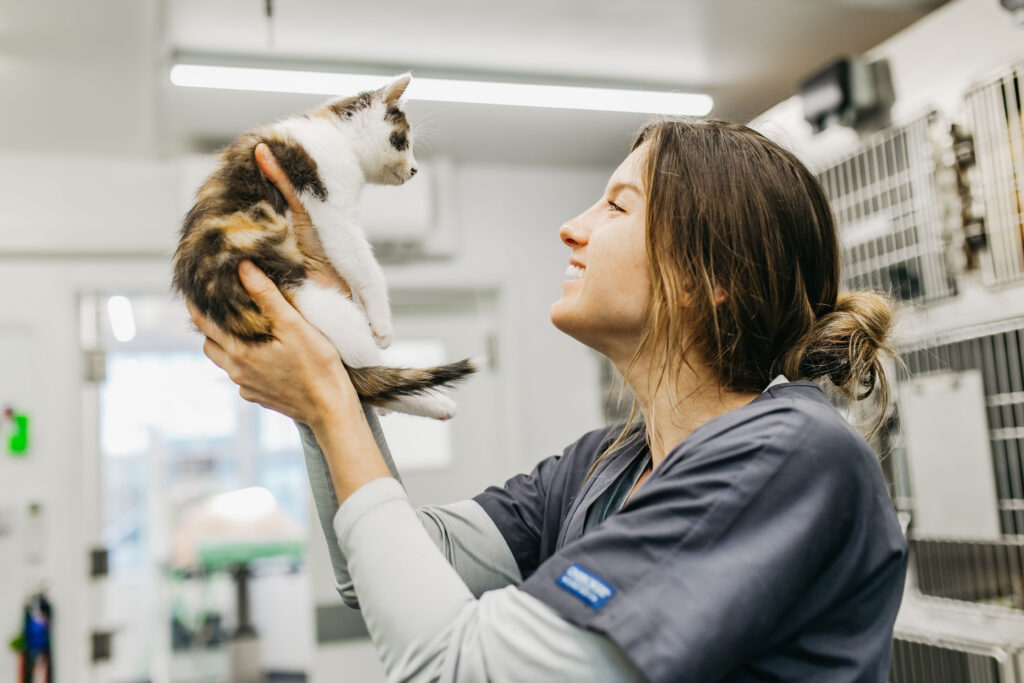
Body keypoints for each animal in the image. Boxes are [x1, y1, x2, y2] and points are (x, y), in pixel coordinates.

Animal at [175, 73, 475, 417]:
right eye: (402, 141)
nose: (415, 170)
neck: (336, 135)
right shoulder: (330, 203)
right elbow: (364, 264)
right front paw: (383, 324)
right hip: (315, 304)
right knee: (363, 377)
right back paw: (428, 401)